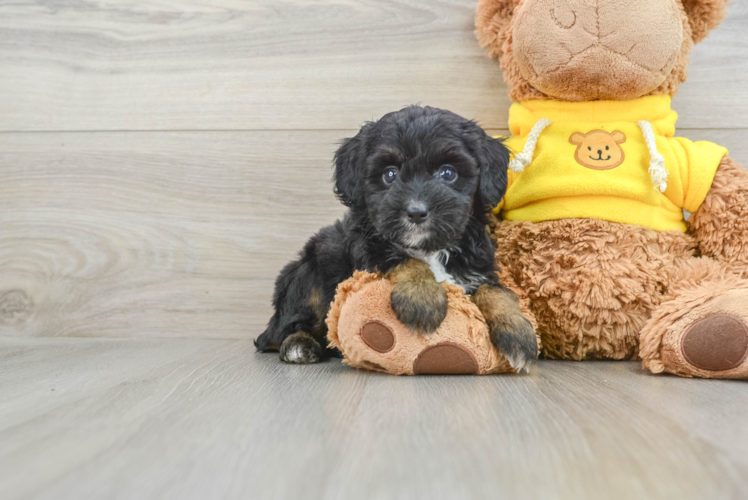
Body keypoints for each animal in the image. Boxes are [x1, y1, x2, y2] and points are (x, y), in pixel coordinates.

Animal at [258, 106, 536, 372]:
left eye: (448, 173)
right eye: (390, 175)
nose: (416, 212)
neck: (431, 248)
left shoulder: (479, 267)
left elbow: (496, 291)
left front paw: (518, 331)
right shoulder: (367, 250)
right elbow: (404, 258)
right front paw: (422, 298)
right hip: (310, 272)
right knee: (289, 325)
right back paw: (299, 344)